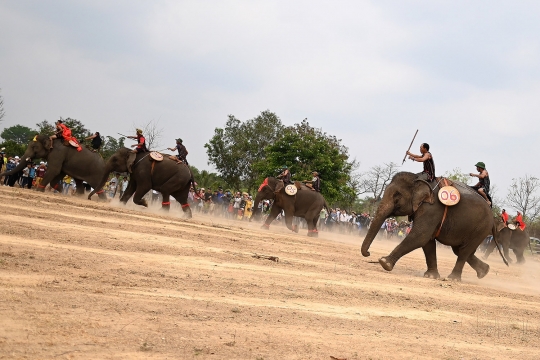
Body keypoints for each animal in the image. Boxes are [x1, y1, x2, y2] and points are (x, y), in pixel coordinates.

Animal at [358, 172, 506, 282]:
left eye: (397, 196)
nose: (368, 253)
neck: (419, 179)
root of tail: (493, 218)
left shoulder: (432, 208)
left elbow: (420, 235)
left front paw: (384, 262)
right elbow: (427, 241)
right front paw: (431, 276)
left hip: (481, 228)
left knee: (464, 251)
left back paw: (453, 279)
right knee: (460, 250)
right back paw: (484, 272)